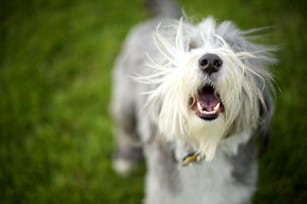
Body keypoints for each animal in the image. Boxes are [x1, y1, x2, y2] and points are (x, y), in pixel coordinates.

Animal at [110, 0, 276, 204]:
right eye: (190, 47)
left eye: (232, 48)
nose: (210, 61)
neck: (205, 144)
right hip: (125, 103)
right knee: (124, 131)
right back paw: (125, 160)